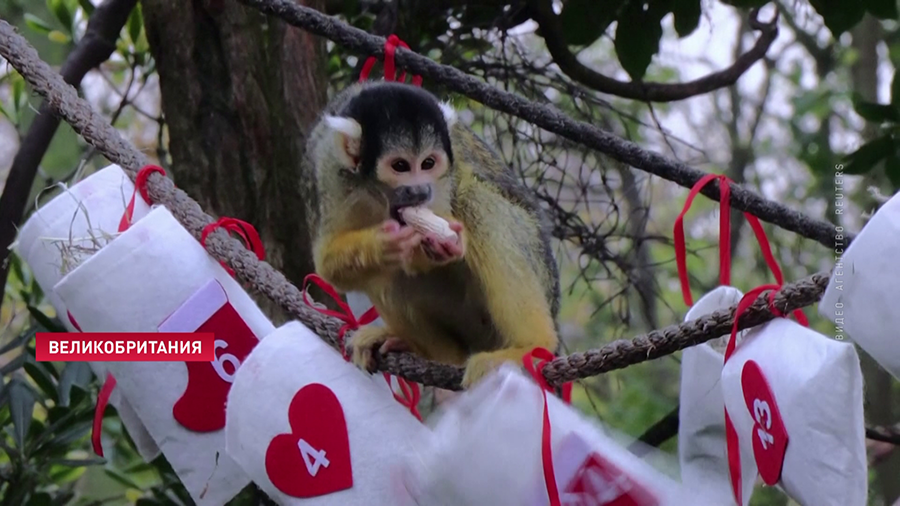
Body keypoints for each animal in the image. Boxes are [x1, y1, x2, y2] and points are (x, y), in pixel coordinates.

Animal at [310, 81, 564, 388]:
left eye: (428, 163)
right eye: (400, 166)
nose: (420, 191)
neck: (380, 195)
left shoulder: (445, 177)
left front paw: (440, 245)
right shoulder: (330, 169)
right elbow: (329, 266)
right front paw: (382, 245)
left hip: (536, 271)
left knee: (475, 198)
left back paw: (531, 348)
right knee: (387, 274)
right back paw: (423, 349)